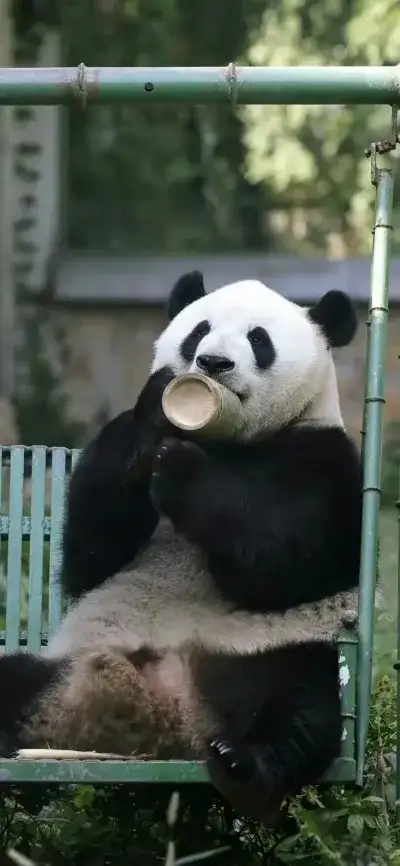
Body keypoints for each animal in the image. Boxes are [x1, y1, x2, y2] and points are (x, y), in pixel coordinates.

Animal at [0, 271, 362, 821]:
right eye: (199, 331)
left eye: (259, 340)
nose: (212, 364)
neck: (225, 441)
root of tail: (165, 716)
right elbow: (90, 554)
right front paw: (159, 413)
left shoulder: (324, 459)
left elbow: (287, 556)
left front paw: (185, 472)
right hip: (59, 666)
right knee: (12, 682)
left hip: (267, 652)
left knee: (302, 712)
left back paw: (244, 765)